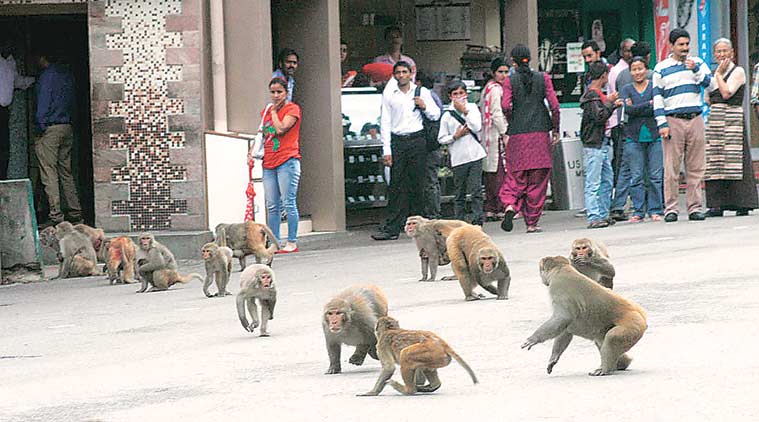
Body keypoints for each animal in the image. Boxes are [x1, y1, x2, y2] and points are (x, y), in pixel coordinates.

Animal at [524, 256, 652, 378]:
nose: (541, 277)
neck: (561, 269)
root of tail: (641, 314)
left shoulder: (557, 289)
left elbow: (563, 318)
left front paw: (533, 339)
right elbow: (565, 329)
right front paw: (553, 359)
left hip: (632, 324)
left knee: (611, 337)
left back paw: (605, 369)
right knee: (602, 339)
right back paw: (622, 364)